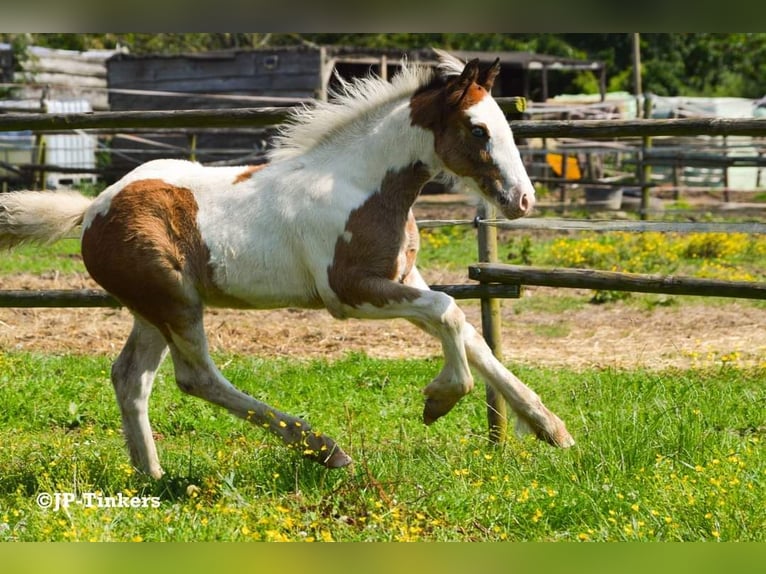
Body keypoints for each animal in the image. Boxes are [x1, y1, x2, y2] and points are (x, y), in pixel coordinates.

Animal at [0, 50, 572, 482]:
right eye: (477, 131)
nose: (523, 200)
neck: (361, 185)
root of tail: (93, 207)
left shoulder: (402, 278)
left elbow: (472, 338)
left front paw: (550, 427)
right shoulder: (350, 291)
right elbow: (449, 311)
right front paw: (439, 400)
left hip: (152, 309)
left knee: (130, 378)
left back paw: (153, 476)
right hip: (174, 302)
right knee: (196, 378)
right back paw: (325, 449)